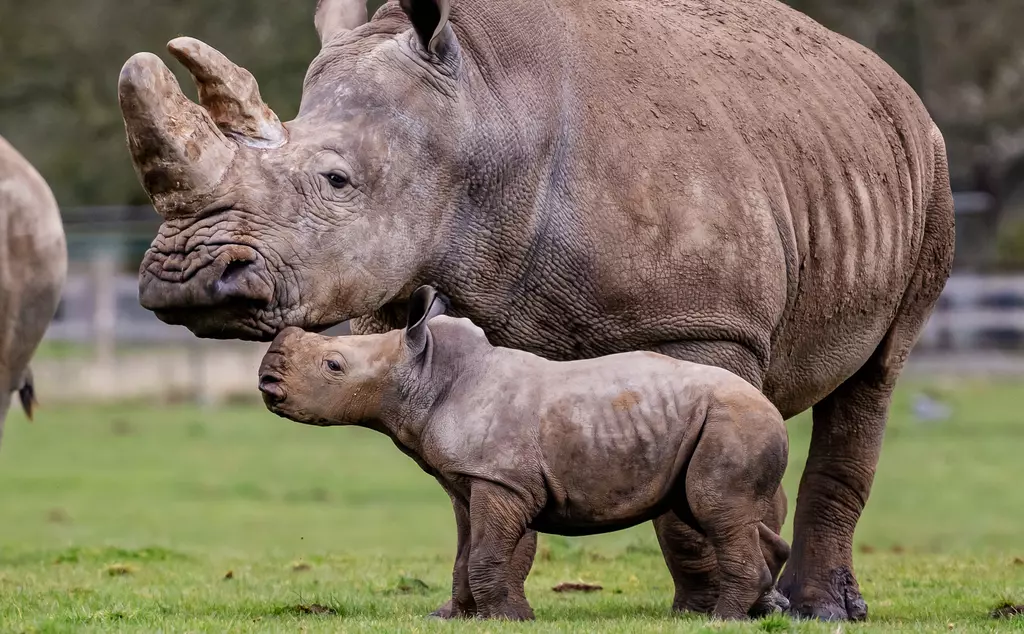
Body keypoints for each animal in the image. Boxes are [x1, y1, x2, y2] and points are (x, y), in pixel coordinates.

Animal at [258, 286, 790, 618]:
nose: (266, 381)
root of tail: (771, 409)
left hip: (732, 422)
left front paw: (508, 618)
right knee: (716, 512)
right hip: (713, 425)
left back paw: (722, 620)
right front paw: (457, 618)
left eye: (333, 366)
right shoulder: (469, 478)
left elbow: (486, 553)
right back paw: (762, 612)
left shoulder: (501, 480)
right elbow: (466, 551)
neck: (425, 373)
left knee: (715, 511)